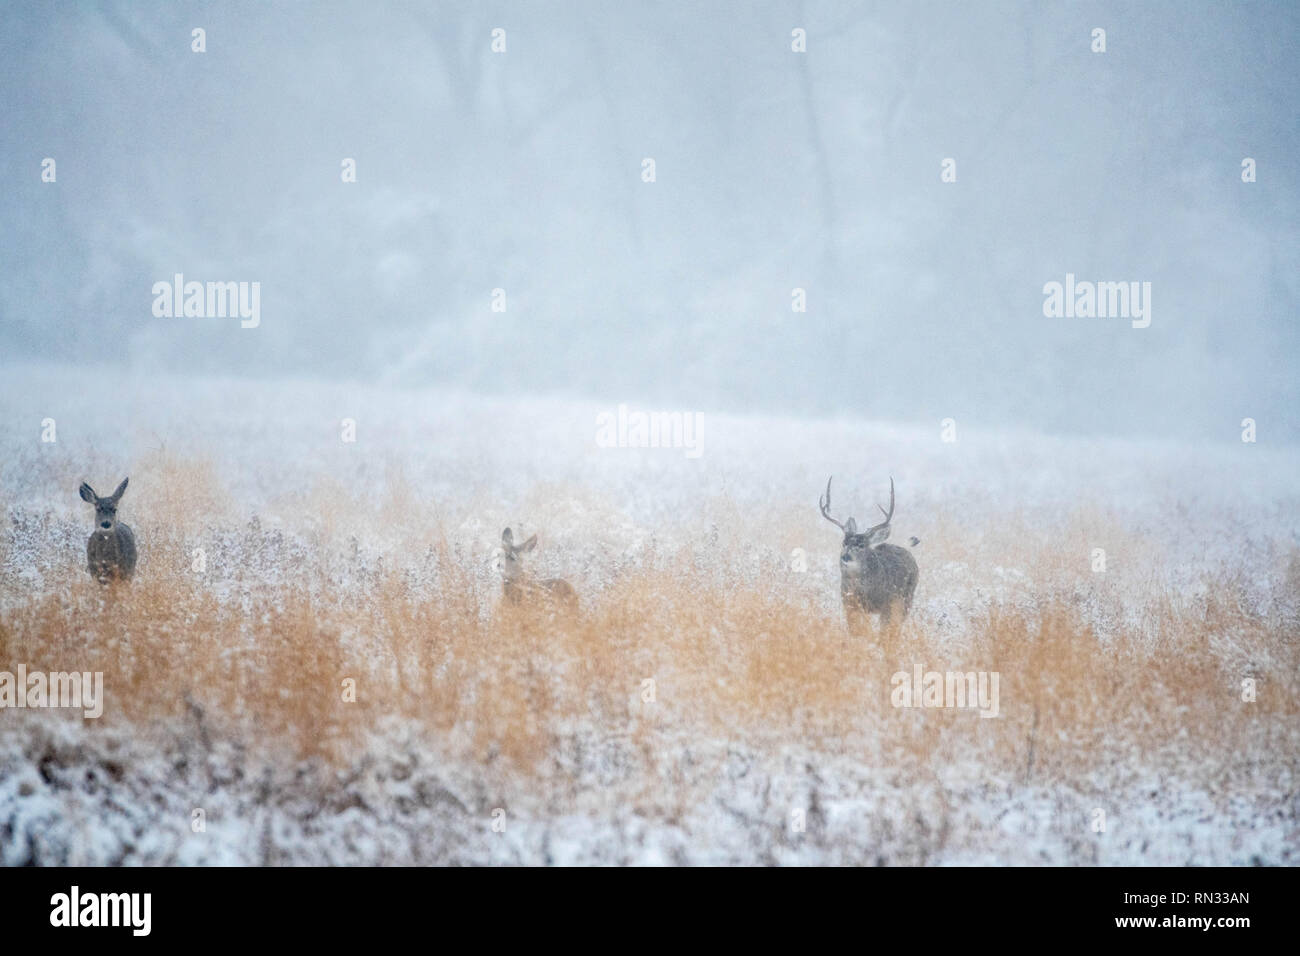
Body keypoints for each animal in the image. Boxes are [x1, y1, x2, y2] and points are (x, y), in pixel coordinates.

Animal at [816, 476, 920, 629]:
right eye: (843, 543)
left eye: (861, 545)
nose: (845, 556)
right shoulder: (849, 604)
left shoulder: (888, 603)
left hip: (907, 598)